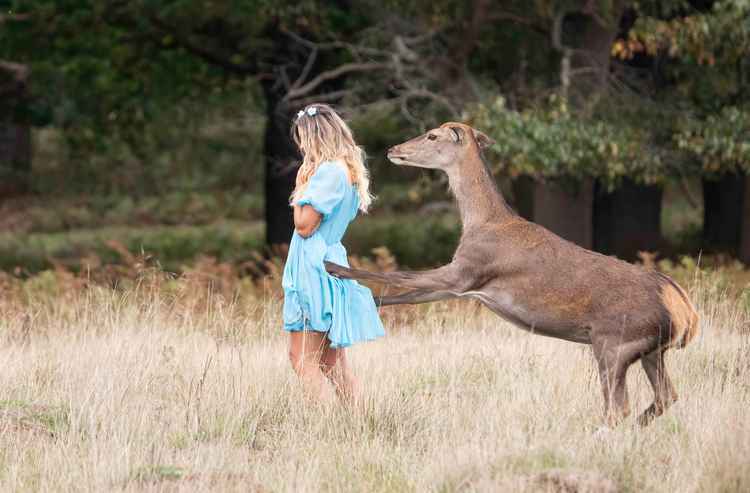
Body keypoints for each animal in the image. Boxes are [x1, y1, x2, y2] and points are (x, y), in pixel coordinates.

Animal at [326, 121, 704, 424]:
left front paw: (336, 269)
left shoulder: (467, 269)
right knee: (665, 396)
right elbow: (404, 296)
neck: (481, 222)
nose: (393, 149)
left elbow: (399, 276)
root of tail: (686, 313)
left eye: (432, 135)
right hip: (651, 350)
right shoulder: (460, 283)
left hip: (613, 341)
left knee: (618, 408)